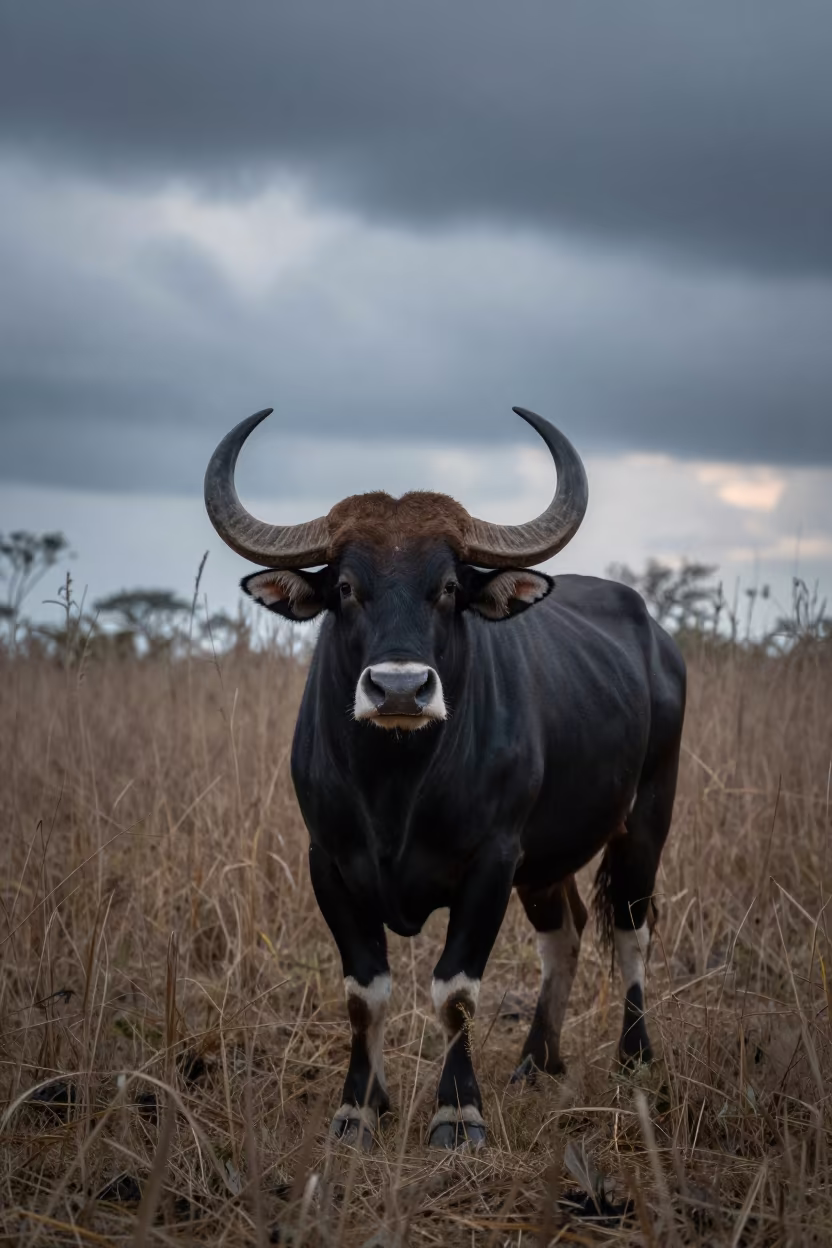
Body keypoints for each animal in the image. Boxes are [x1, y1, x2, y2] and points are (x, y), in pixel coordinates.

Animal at [204, 406, 686, 1150]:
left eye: (450, 587)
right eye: (347, 588)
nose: (400, 688)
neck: (395, 787)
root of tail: (659, 641)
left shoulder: (491, 860)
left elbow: (455, 990)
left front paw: (458, 1113)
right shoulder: (329, 863)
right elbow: (364, 992)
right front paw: (360, 1107)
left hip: (646, 821)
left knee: (632, 934)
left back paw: (634, 1059)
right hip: (545, 863)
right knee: (565, 934)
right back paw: (536, 1063)